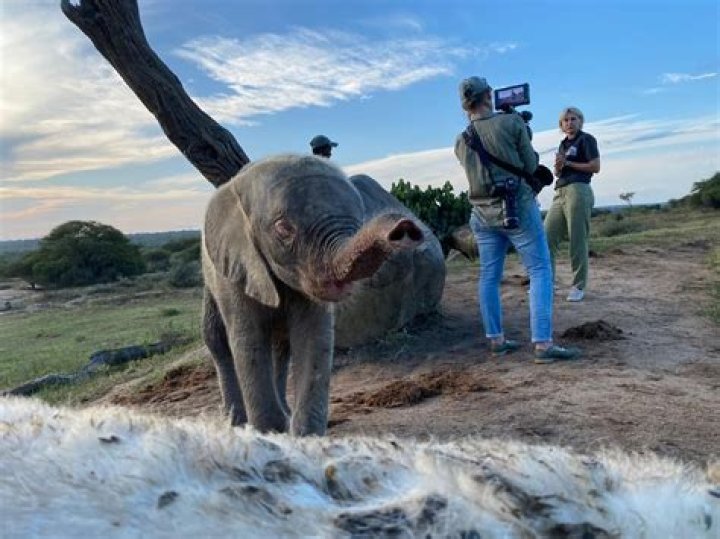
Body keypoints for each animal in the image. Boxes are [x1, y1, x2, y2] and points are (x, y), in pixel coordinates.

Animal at [202, 155, 424, 436]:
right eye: (284, 228)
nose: (405, 228)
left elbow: (313, 338)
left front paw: (303, 438)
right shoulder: (236, 267)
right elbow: (248, 340)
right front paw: (269, 435)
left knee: (281, 346)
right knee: (217, 339)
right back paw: (236, 423)